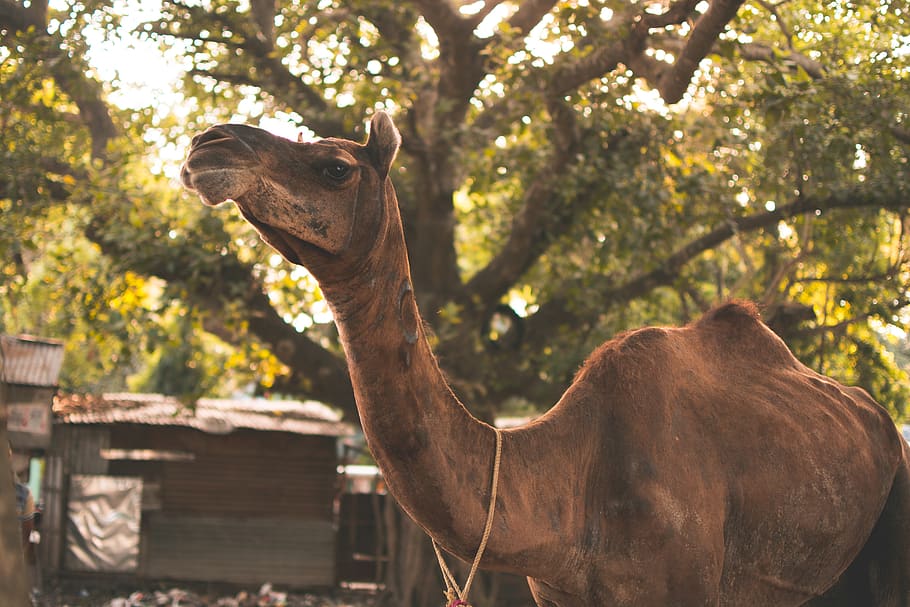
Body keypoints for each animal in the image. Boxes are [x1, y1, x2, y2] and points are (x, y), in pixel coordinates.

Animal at [181, 111, 910, 606]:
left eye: (335, 165)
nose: (207, 145)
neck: (567, 482)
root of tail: (881, 421)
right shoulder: (558, 594)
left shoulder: (685, 585)